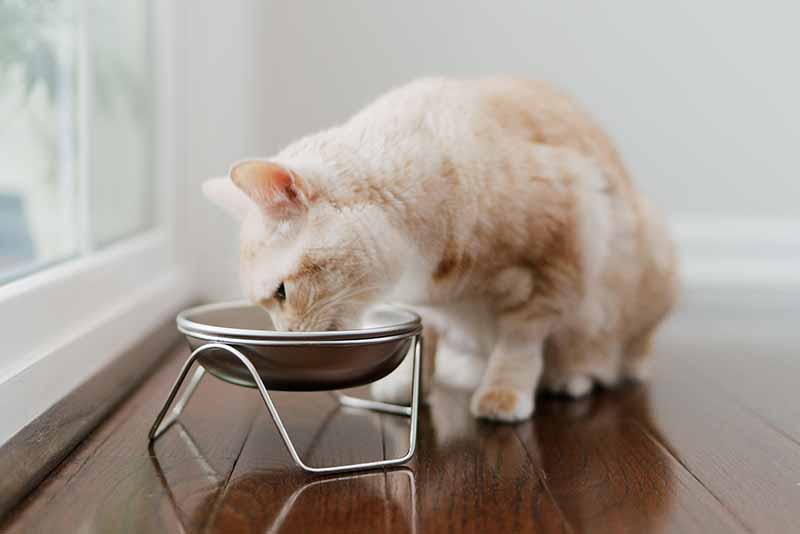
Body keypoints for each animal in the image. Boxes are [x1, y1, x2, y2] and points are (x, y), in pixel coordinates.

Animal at [203, 77, 680, 426]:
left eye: (282, 293)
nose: (285, 336)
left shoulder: (559, 249)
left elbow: (520, 343)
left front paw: (503, 394)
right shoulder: (423, 303)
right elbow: (423, 339)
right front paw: (405, 385)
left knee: (611, 360)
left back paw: (571, 378)